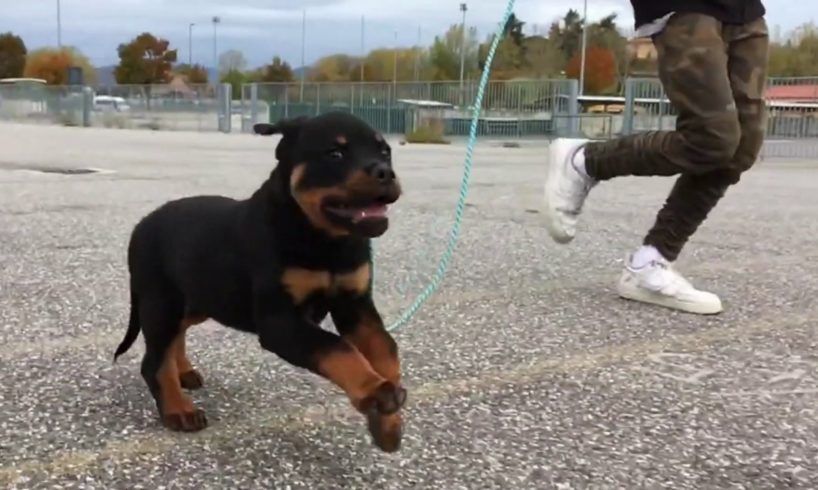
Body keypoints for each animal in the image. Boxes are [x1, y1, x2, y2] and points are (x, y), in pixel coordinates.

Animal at [113, 111, 406, 452]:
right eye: (335, 154)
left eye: (385, 152)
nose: (385, 172)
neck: (325, 240)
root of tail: (141, 225)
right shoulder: (279, 321)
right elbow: (337, 347)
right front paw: (376, 392)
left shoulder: (355, 304)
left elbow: (386, 348)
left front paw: (388, 423)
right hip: (161, 301)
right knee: (154, 361)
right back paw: (178, 409)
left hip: (199, 298)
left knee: (177, 334)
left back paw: (183, 372)